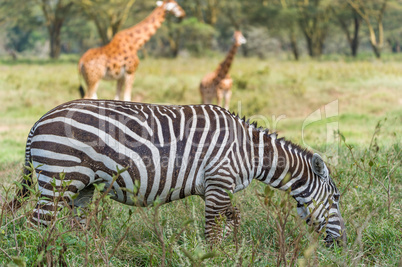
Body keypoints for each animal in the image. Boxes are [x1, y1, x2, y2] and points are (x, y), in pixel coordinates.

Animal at [9, 100, 348, 247]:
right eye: (336, 198)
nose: (342, 244)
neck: (249, 152)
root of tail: (40, 119)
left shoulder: (219, 187)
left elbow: (232, 220)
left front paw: (232, 250)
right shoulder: (218, 181)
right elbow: (213, 229)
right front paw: (216, 256)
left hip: (82, 187)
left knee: (71, 227)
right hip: (59, 176)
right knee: (36, 225)